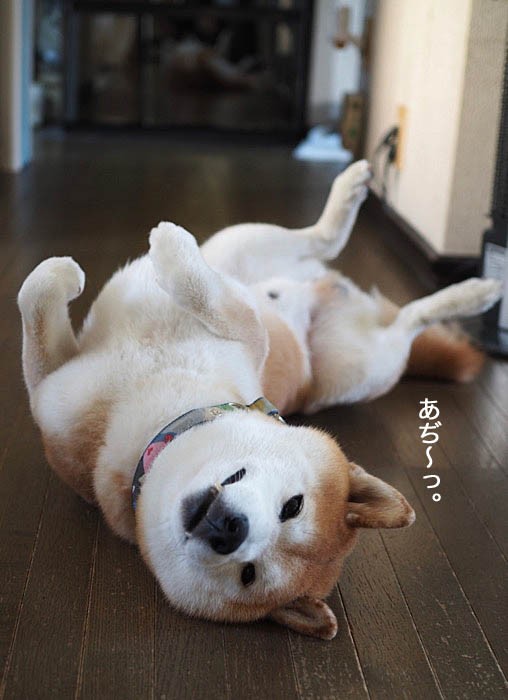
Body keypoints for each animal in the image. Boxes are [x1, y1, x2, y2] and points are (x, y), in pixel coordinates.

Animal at [17, 160, 502, 640]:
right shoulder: (54, 387)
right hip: (245, 244)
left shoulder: (247, 338)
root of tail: (328, 290)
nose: (231, 531)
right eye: (294, 506)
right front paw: (65, 274)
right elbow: (35, 295)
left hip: (363, 368)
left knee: (406, 321)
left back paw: (474, 294)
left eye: (248, 574)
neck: (154, 425)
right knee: (320, 244)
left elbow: (222, 305)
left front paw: (163, 256)